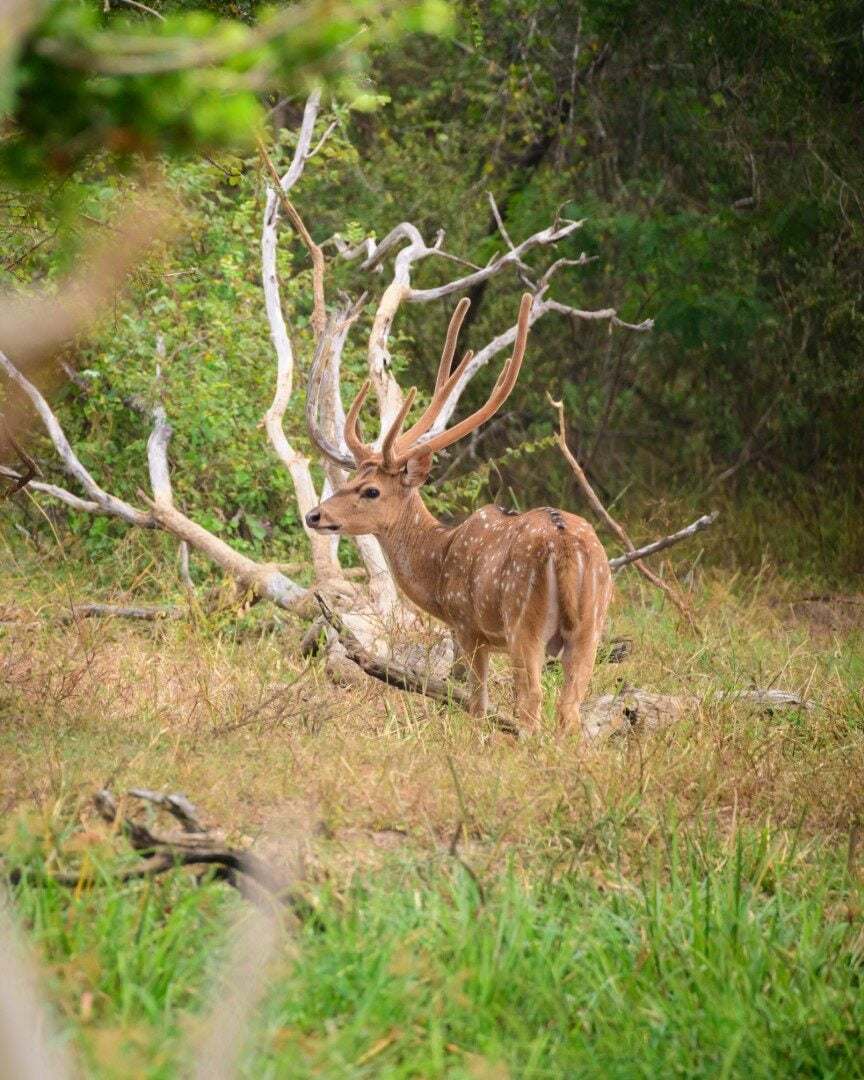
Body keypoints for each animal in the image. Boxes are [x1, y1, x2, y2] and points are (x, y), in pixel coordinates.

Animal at [304, 293, 613, 735]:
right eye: (352, 478)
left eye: (371, 490)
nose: (314, 516)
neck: (439, 562)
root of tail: (570, 549)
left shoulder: (467, 626)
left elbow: (476, 703)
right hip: (592, 625)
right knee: (570, 707)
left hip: (524, 623)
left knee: (531, 700)